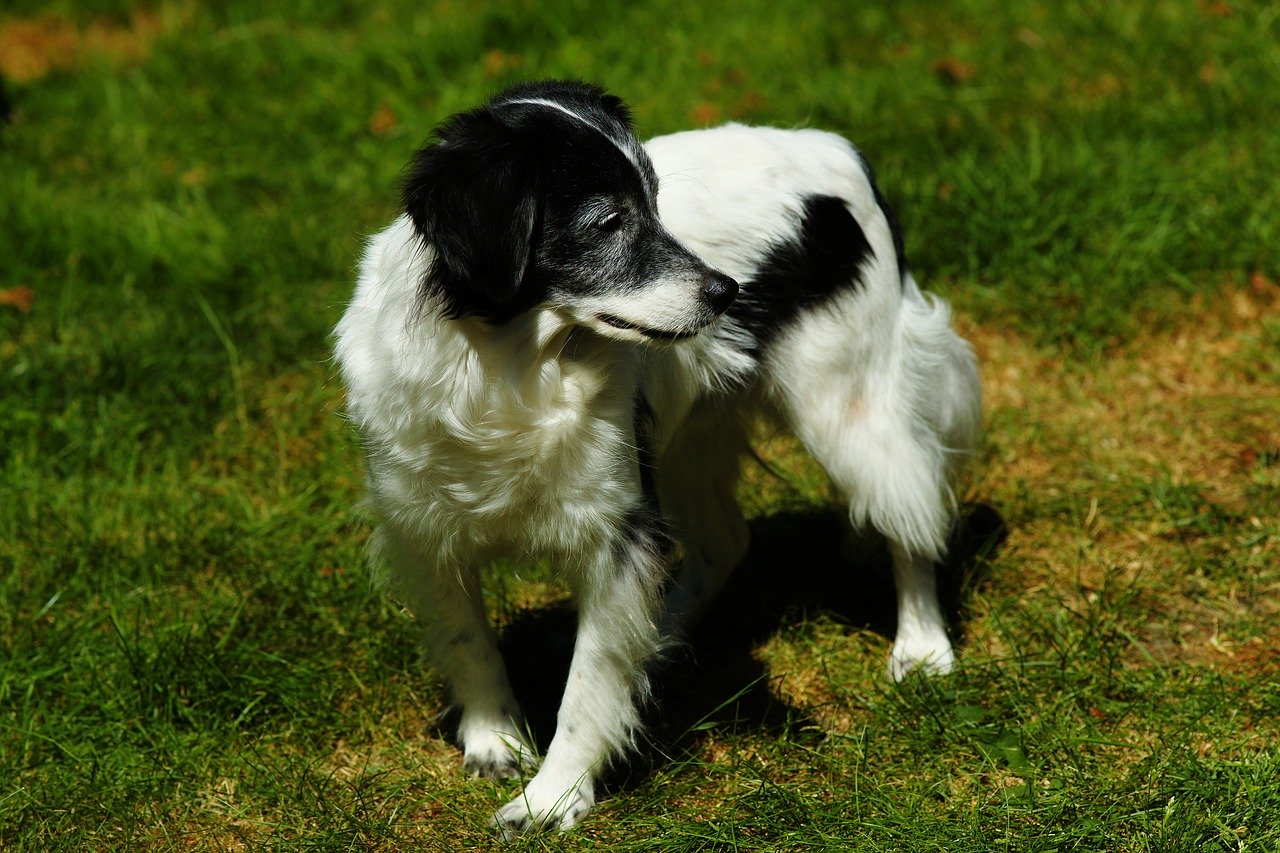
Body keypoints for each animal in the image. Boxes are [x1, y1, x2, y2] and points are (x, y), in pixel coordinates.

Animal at [335, 79, 983, 829]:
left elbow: (588, 682)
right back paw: (664, 636)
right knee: (725, 542)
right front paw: (495, 743)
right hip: (690, 441)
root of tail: (837, 146)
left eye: (654, 204)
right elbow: (470, 639)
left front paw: (552, 798)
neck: (513, 367)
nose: (727, 291)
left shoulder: (617, 530)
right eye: (608, 222)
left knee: (911, 514)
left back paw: (922, 647)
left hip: (850, 408)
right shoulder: (422, 522)